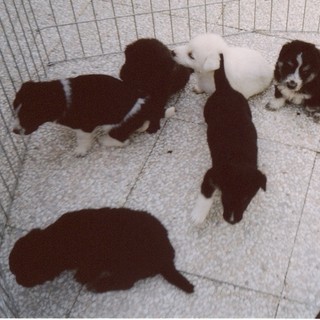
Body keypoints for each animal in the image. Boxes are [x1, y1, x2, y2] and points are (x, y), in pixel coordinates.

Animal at [10, 206, 194, 294]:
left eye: (25, 272)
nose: (18, 282)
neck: (55, 240)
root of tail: (167, 260)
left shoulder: (94, 258)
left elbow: (88, 269)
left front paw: (81, 277)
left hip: (127, 263)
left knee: (125, 282)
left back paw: (98, 285)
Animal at [12, 74, 175, 156]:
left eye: (29, 117)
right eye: (14, 110)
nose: (14, 131)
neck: (61, 96)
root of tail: (146, 106)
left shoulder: (84, 125)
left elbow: (83, 139)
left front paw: (80, 151)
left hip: (116, 125)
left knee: (124, 140)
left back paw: (105, 140)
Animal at [191, 53, 266, 225]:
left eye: (246, 200)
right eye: (226, 196)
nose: (232, 221)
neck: (239, 160)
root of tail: (226, 88)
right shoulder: (211, 174)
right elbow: (206, 194)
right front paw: (198, 216)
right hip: (207, 110)